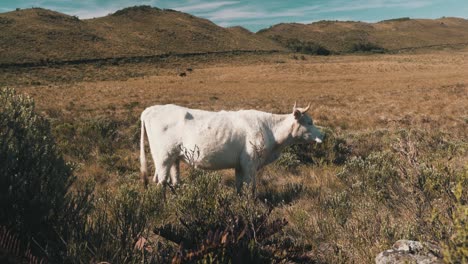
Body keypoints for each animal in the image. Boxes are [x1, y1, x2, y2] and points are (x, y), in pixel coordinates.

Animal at [138, 102, 322, 191]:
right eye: (309, 122)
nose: (323, 135)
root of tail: (150, 110)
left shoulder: (239, 165)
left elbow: (239, 187)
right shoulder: (249, 163)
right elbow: (249, 188)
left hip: (174, 158)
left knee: (173, 181)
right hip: (163, 157)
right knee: (161, 182)